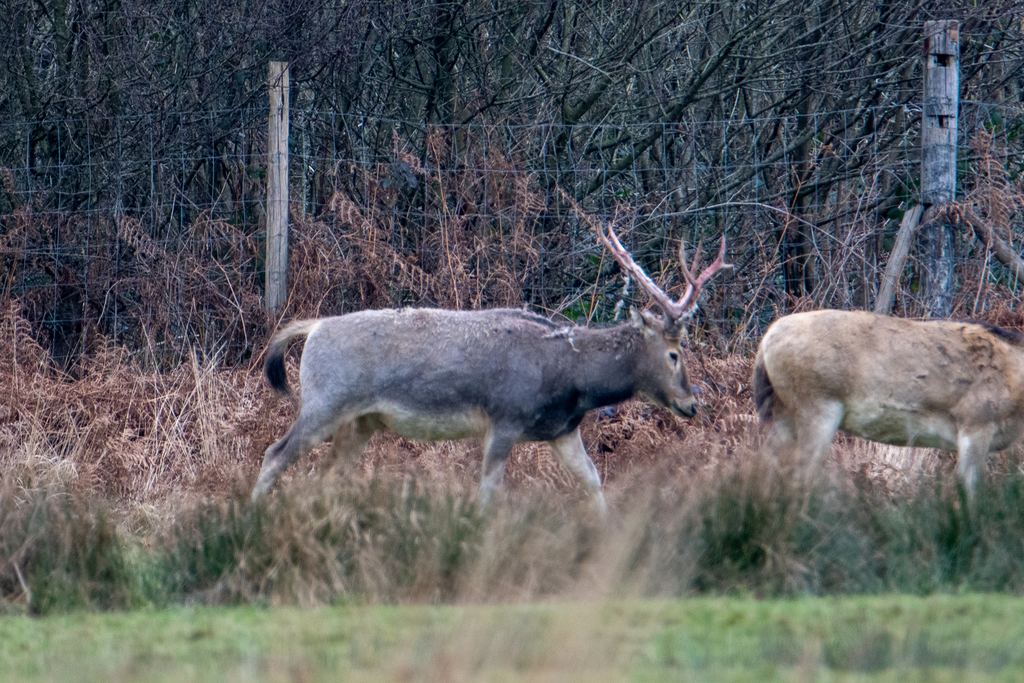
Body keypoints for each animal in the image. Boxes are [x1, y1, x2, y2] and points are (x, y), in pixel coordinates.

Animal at [251, 210, 731, 512]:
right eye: (674, 352)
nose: (691, 404)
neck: (569, 377)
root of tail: (313, 328)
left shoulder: (562, 430)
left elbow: (593, 479)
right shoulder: (505, 418)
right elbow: (487, 493)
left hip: (361, 421)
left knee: (325, 473)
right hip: (326, 401)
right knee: (275, 453)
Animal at [752, 309, 1024, 496]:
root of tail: (765, 342)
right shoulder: (977, 420)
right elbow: (971, 491)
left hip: (781, 412)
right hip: (817, 404)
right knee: (800, 475)